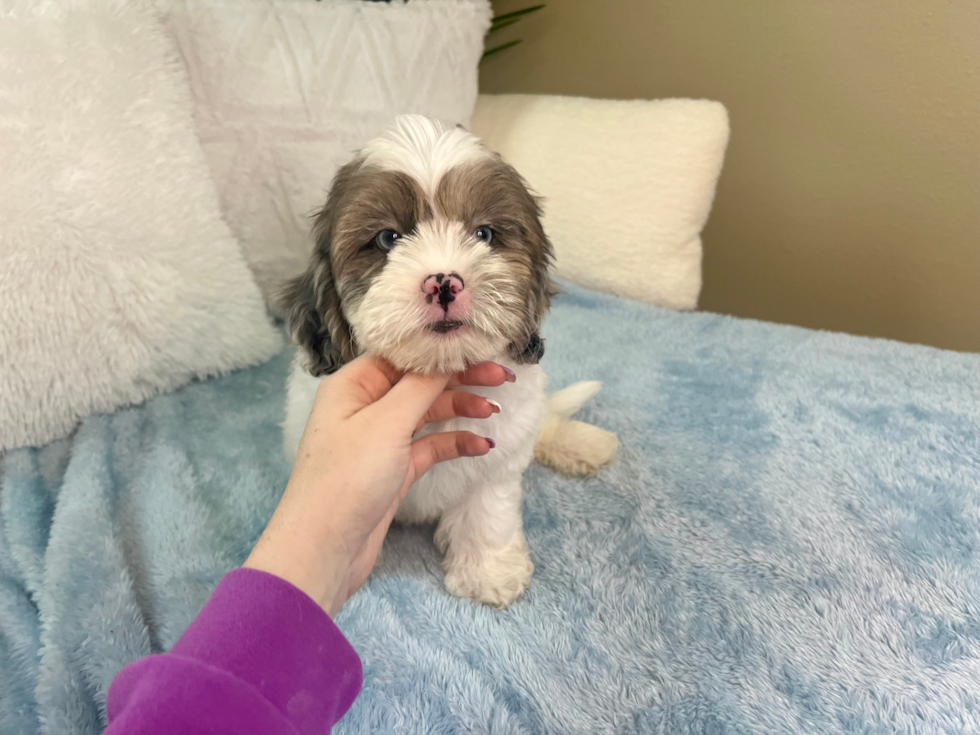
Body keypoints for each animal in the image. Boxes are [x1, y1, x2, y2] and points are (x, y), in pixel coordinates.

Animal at [280, 116, 616, 608]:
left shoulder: (497, 455)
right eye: (388, 238)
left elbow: (486, 511)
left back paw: (582, 443)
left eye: (484, 234)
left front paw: (488, 571)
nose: (443, 282)